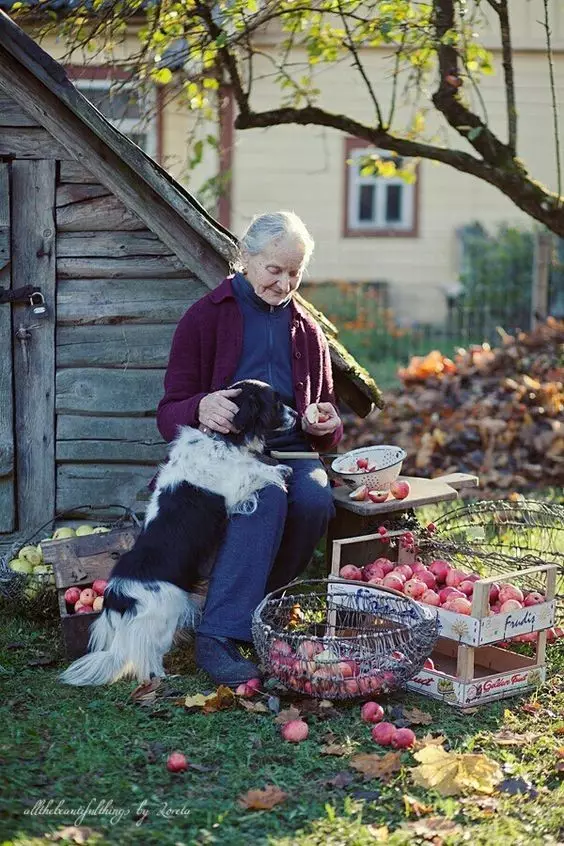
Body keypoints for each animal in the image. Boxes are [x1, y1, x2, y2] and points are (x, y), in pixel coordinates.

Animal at [59, 384, 294, 688]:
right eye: (276, 403)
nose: (296, 413)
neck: (221, 440)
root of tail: (122, 601)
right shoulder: (235, 485)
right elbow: (255, 469)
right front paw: (280, 469)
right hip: (165, 613)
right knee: (147, 658)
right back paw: (163, 676)